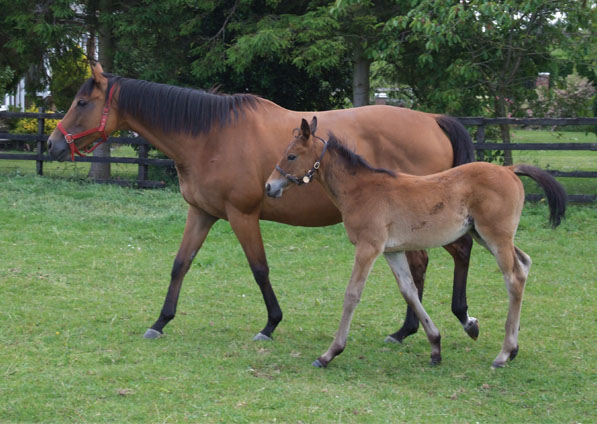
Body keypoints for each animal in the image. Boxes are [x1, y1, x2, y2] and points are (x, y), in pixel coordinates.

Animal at [46, 62, 478, 344]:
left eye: (82, 103)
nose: (52, 144)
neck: (210, 136)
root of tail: (432, 119)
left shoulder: (242, 216)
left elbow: (259, 269)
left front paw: (270, 325)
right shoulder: (201, 214)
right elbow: (180, 265)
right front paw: (161, 321)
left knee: (447, 256)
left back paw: (443, 320)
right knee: (421, 266)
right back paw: (408, 329)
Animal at [266, 117, 564, 370]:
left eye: (291, 155)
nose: (269, 186)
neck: (360, 189)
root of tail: (509, 170)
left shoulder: (368, 247)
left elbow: (352, 294)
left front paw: (329, 354)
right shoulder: (393, 251)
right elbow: (408, 290)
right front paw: (435, 347)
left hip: (496, 236)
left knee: (513, 278)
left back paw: (503, 354)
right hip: (486, 236)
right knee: (524, 264)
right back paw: (512, 349)